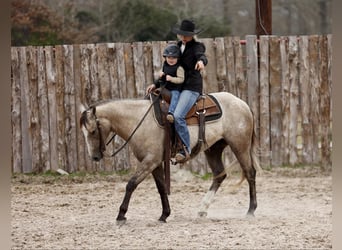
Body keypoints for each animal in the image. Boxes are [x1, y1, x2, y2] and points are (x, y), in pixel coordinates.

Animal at [80, 91, 260, 223]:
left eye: (93, 131)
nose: (94, 157)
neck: (140, 121)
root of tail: (243, 104)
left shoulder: (150, 161)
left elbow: (131, 184)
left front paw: (121, 215)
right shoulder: (155, 163)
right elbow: (161, 188)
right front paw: (164, 214)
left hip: (240, 146)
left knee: (250, 172)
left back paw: (251, 210)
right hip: (213, 149)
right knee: (219, 175)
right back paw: (202, 208)